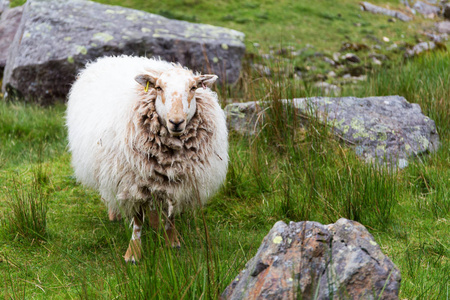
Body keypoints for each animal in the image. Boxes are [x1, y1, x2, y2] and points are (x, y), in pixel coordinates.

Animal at [66, 55, 229, 262]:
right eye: (158, 87)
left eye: (193, 87)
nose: (176, 122)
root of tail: (108, 58)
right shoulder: (132, 182)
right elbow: (137, 220)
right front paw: (133, 253)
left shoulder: (179, 183)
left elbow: (170, 214)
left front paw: (172, 242)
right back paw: (115, 214)